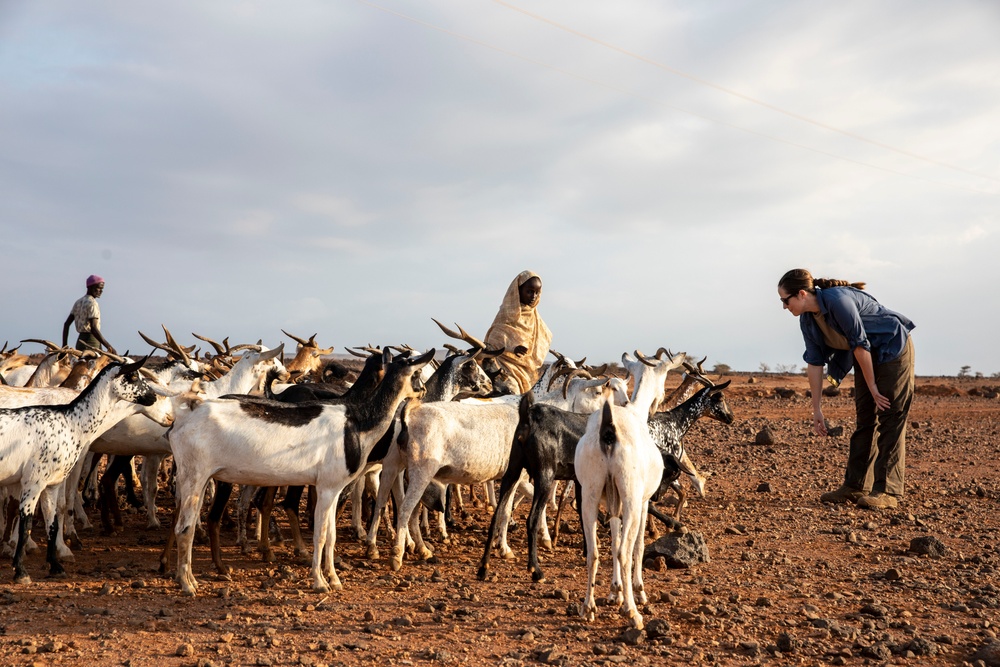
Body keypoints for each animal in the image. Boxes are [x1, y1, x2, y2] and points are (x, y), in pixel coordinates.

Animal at [0, 354, 158, 584]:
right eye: (133, 376)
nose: (153, 396)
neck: (70, 421)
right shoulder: (33, 482)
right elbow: (26, 525)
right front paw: (21, 572)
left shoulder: (52, 484)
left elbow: (52, 521)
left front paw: (56, 566)